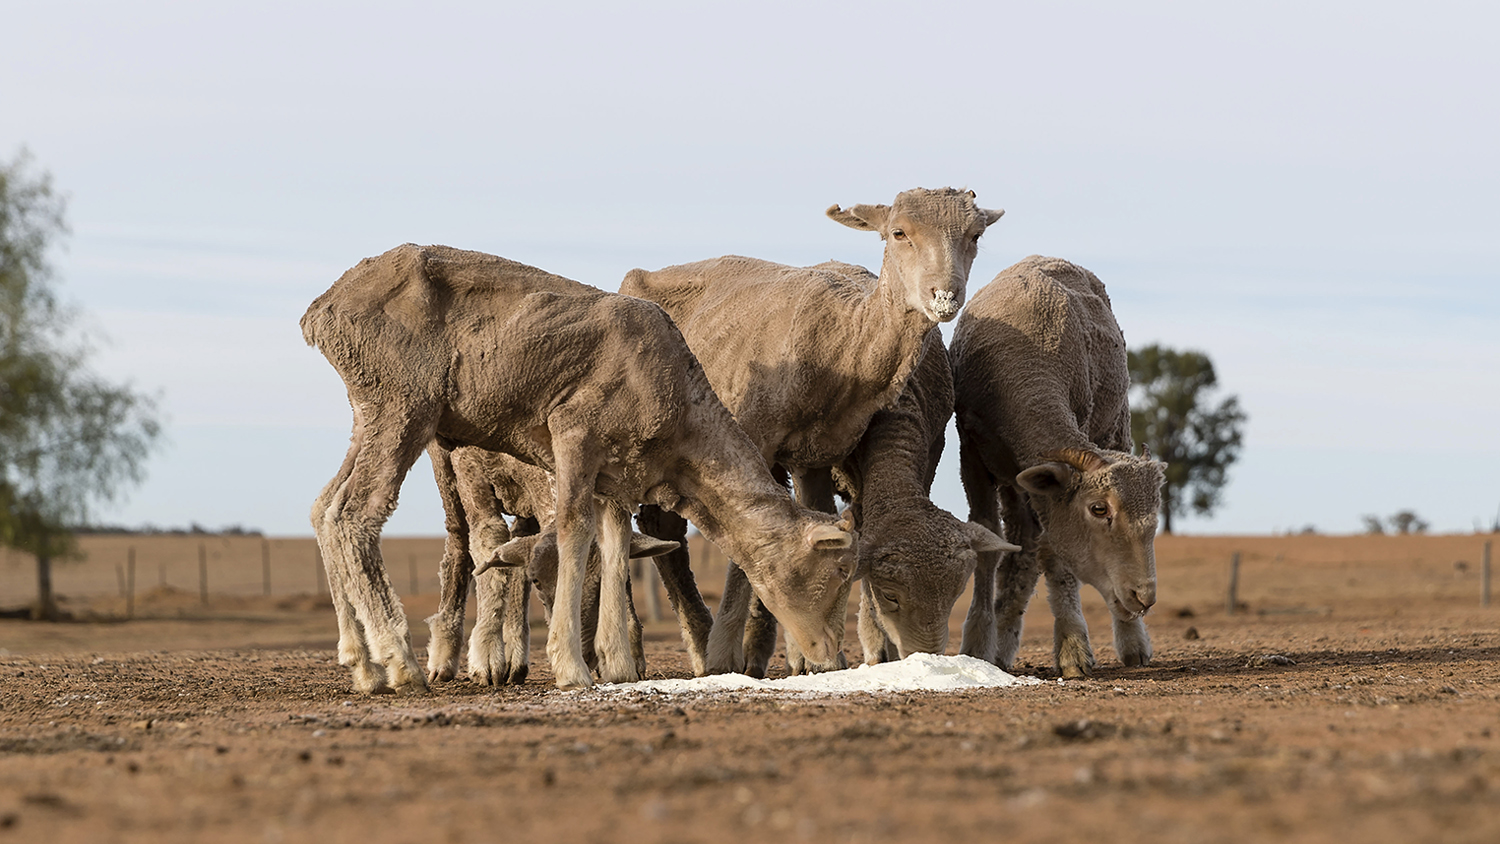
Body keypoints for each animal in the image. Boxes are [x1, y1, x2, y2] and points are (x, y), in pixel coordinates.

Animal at [301, 244, 858, 692]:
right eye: (838, 571)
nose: (830, 656)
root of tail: (322, 309)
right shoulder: (572, 434)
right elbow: (574, 532)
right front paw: (572, 668)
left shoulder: (616, 477)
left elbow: (611, 548)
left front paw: (617, 666)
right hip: (403, 405)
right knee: (356, 514)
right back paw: (400, 663)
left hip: (369, 411)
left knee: (323, 508)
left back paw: (362, 666)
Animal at [621, 188, 1008, 677]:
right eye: (898, 233)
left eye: (975, 235)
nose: (945, 296)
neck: (845, 344)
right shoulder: (755, 440)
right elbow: (747, 549)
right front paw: (726, 654)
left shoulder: (825, 454)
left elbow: (830, 527)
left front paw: (840, 654)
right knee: (652, 526)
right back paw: (669, 648)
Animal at [948, 256, 1170, 680]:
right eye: (1099, 509)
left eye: (1156, 515)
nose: (1146, 596)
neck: (1024, 366)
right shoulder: (974, 456)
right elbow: (988, 539)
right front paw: (977, 645)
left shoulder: (1052, 482)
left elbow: (1055, 556)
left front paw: (1072, 647)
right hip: (1016, 483)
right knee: (1019, 552)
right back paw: (1003, 642)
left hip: (1114, 427)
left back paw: (1131, 640)